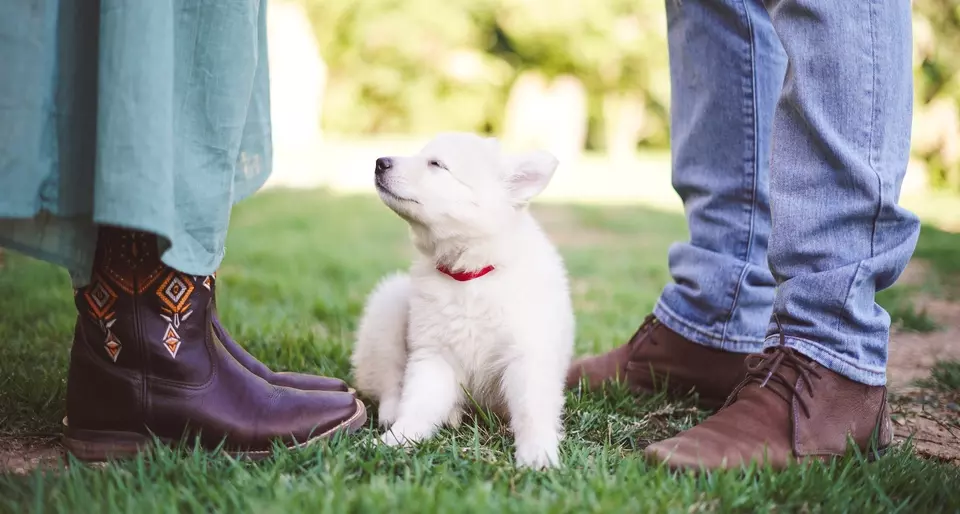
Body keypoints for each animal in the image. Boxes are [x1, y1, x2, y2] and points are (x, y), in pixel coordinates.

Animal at [352, 131, 576, 468]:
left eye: (436, 164)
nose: (380, 162)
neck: (469, 276)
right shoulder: (434, 353)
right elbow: (418, 404)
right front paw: (396, 440)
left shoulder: (527, 354)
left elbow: (530, 409)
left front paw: (538, 453)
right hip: (387, 307)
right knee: (388, 380)